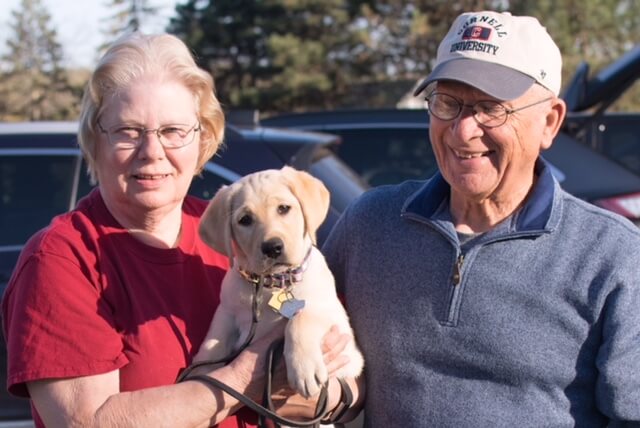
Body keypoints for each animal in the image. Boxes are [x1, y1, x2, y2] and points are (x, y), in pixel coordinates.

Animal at [195, 166, 364, 396]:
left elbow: (300, 319)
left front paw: (304, 368)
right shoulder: (226, 311)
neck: (274, 282)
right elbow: (213, 340)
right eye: (245, 220)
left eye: (284, 208)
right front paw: (199, 369)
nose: (272, 247)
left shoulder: (334, 321)